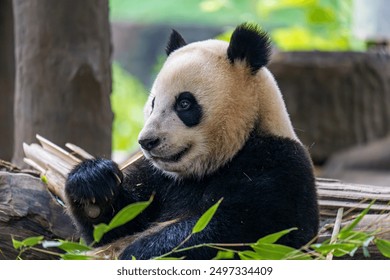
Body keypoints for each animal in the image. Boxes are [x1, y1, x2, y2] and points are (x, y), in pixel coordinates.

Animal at [64, 23, 320, 260]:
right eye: (153, 103)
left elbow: (244, 229)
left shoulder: (278, 165)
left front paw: (142, 250)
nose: (147, 141)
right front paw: (92, 182)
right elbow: (114, 225)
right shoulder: (157, 177)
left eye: (184, 103)